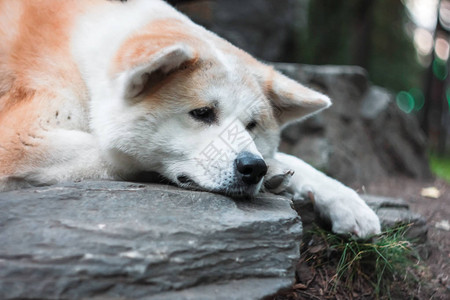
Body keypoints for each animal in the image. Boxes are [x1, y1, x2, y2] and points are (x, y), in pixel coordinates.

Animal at [0, 0, 380, 238]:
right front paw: (275, 172)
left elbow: (293, 159)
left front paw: (345, 201)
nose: (253, 168)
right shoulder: (20, 138)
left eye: (252, 126)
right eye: (202, 113)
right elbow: (121, 155)